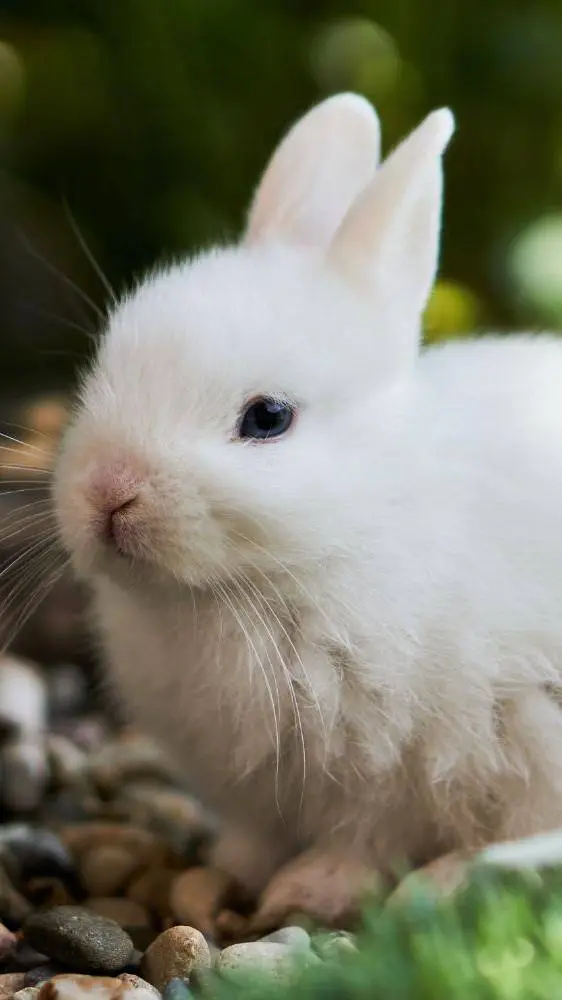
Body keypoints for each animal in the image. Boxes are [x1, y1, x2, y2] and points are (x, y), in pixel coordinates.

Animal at [54, 91, 562, 930]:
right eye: (105, 366)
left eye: (268, 418)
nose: (108, 491)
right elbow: (258, 836)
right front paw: (230, 870)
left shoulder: (400, 767)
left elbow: (365, 839)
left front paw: (307, 891)